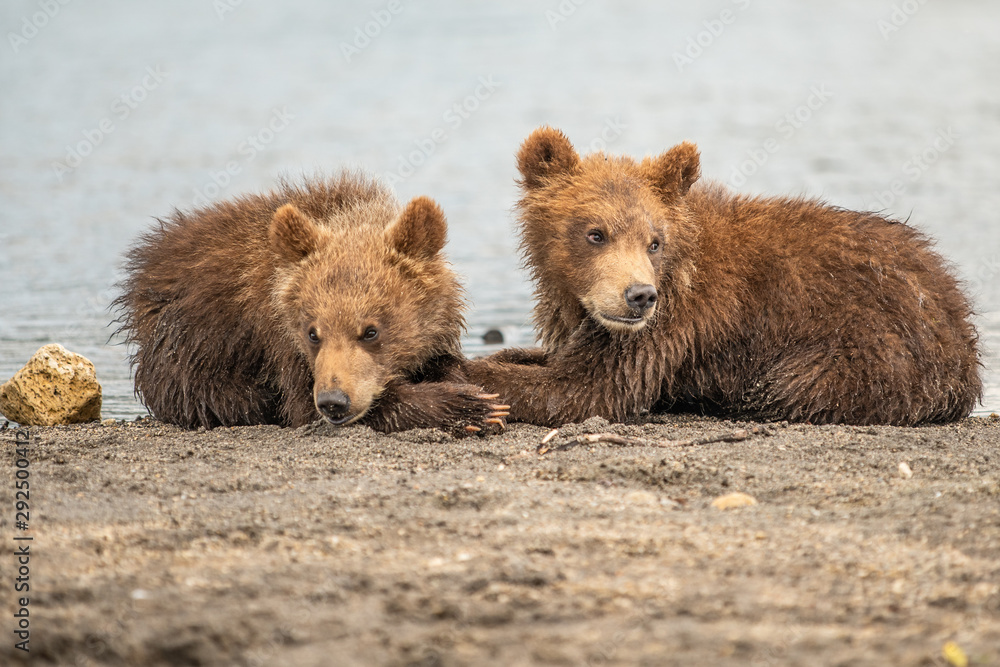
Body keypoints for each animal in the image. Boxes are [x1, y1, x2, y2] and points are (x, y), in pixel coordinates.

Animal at [113, 173, 508, 434]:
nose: (335, 401)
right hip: (187, 352)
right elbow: (307, 407)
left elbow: (445, 362)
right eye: (312, 333)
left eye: (371, 331)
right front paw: (472, 408)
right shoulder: (283, 347)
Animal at [463, 126, 982, 427]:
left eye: (654, 241)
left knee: (787, 386)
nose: (639, 296)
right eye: (595, 233)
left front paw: (470, 376)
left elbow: (583, 390)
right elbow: (555, 361)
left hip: (866, 345)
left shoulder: (673, 323)